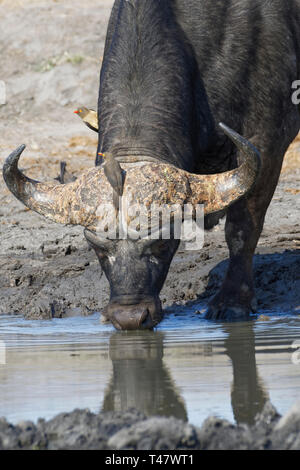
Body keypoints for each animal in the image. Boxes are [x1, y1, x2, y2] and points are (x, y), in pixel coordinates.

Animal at [2, 0, 300, 330]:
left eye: (162, 243)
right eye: (97, 247)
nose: (129, 317)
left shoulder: (267, 142)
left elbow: (242, 229)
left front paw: (233, 302)